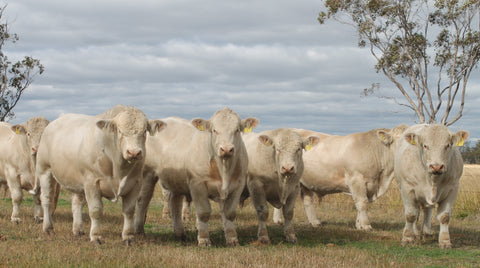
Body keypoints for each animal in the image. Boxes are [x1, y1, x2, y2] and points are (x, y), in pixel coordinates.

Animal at [34, 105, 164, 244]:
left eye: (144, 131)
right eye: (119, 131)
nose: (134, 152)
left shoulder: (135, 183)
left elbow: (129, 211)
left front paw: (128, 236)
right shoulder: (92, 181)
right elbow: (96, 210)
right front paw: (96, 236)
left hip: (77, 179)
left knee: (76, 203)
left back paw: (78, 230)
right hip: (45, 171)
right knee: (47, 199)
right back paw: (48, 228)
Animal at [134, 108, 258, 246]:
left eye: (237, 130)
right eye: (214, 130)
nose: (226, 149)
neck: (224, 169)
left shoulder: (238, 185)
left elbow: (229, 213)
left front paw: (232, 239)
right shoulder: (197, 184)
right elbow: (203, 212)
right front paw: (204, 240)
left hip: (176, 180)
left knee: (174, 202)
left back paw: (180, 234)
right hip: (147, 174)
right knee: (143, 200)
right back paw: (139, 232)